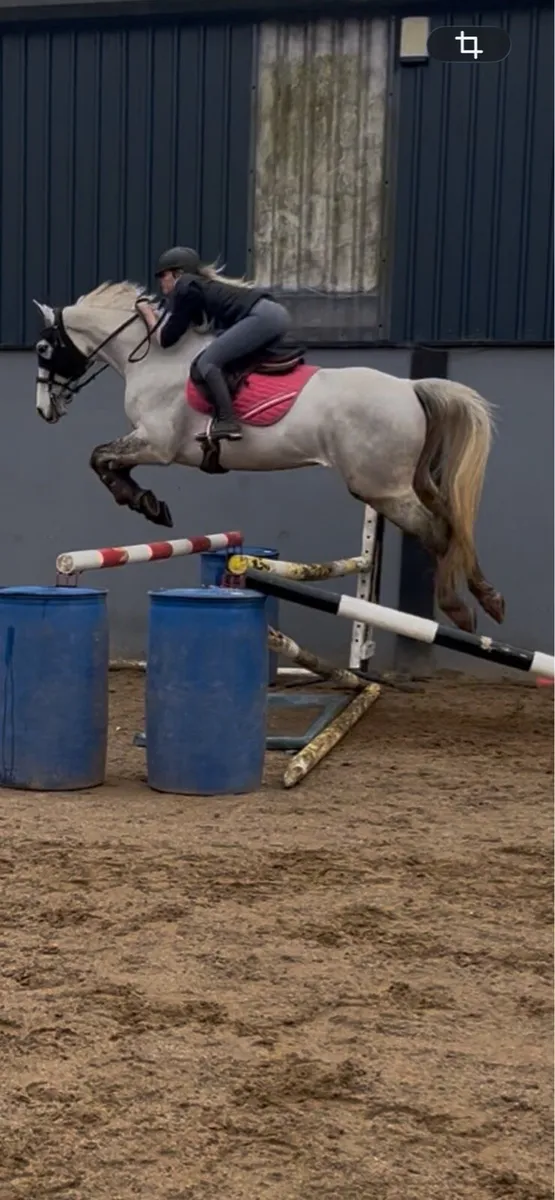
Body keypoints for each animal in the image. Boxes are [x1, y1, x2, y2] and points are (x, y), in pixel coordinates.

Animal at [33, 280, 504, 633]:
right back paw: (489, 597)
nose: (43, 410)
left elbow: (100, 457)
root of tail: (410, 387)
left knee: (438, 531)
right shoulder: (151, 443)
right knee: (453, 521)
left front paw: (142, 502)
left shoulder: (157, 443)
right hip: (409, 481)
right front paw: (147, 502)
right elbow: (106, 459)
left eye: (43, 349)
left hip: (382, 488)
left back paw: (459, 608)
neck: (153, 356)